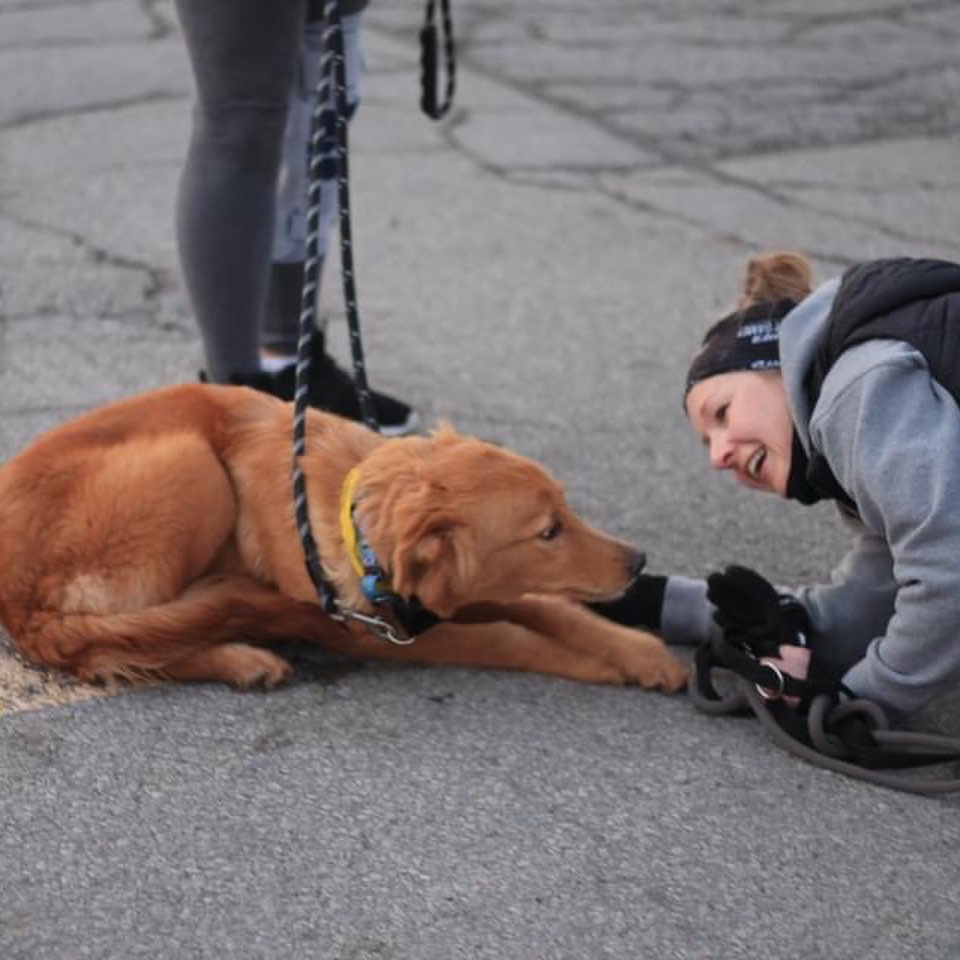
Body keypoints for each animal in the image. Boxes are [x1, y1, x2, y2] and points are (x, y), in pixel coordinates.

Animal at [0, 386, 688, 692]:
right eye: (547, 531)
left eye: (567, 510)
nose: (638, 562)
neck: (354, 520)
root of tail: (16, 606)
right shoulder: (371, 631)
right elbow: (507, 637)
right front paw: (597, 665)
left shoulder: (444, 593)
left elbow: (551, 608)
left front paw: (640, 652)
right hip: (194, 466)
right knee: (109, 644)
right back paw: (242, 654)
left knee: (133, 642)